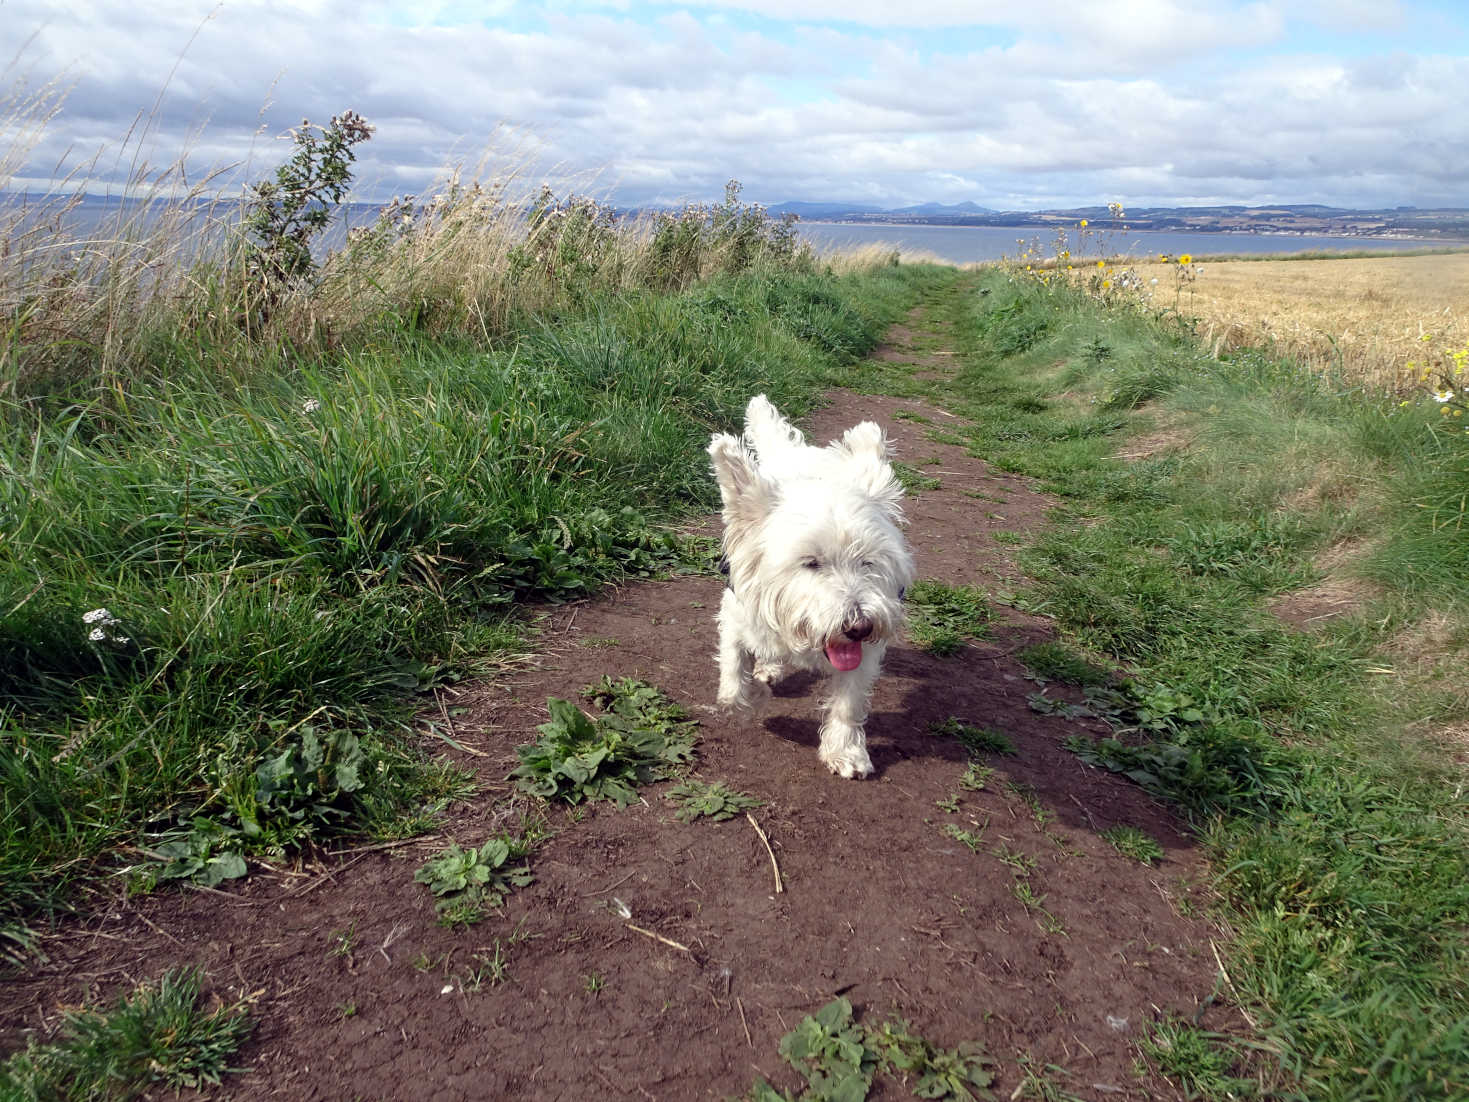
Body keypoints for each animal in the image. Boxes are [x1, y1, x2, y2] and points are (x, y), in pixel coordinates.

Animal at [705, 393, 910, 775]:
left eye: (867, 561)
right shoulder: (734, 618)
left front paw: (846, 751)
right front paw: (755, 696)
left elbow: (848, 702)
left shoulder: (864, 653)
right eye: (811, 562)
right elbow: (732, 686)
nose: (859, 627)